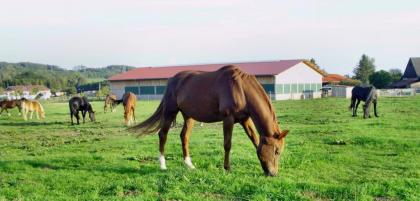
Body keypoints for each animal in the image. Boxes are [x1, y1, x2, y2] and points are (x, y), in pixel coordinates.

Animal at [133, 65, 290, 176]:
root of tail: (172, 80)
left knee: (184, 136)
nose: (273, 173)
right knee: (163, 135)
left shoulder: (245, 119)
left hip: (189, 116)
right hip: (170, 111)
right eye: (276, 151)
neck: (240, 89)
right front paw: (227, 168)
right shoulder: (228, 119)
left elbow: (255, 141)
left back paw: (189, 165)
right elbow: (227, 144)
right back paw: (162, 165)